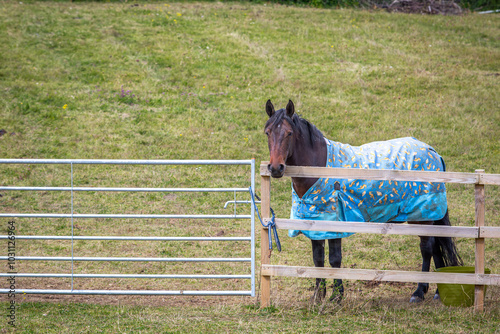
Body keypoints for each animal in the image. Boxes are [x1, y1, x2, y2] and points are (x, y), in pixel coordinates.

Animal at [264, 98, 462, 302]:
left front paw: (337, 296)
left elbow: (335, 258)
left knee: (427, 248)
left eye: (289, 133)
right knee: (436, 246)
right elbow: (317, 259)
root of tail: (432, 151)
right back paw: (437, 292)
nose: (276, 168)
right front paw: (318, 297)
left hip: (423, 215)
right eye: (268, 132)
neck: (318, 168)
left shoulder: (335, 224)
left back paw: (419, 292)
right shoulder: (315, 224)